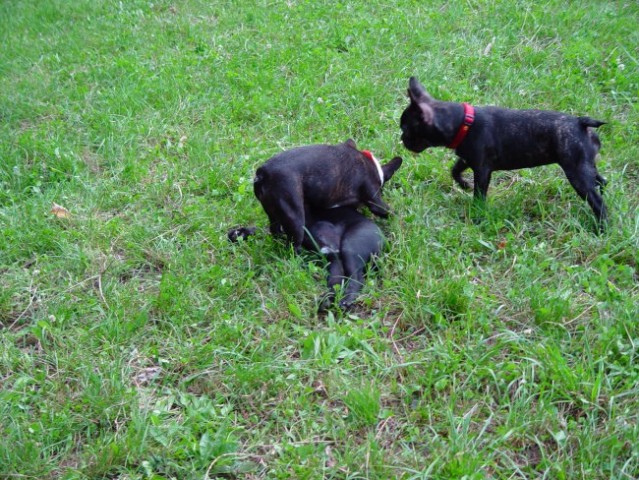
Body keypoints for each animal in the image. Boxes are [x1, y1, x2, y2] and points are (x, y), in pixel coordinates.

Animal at [254, 139, 400, 251]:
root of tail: (263, 173)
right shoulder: (375, 199)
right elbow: (391, 213)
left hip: (274, 212)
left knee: (275, 229)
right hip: (295, 217)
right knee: (293, 246)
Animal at [402, 76, 608, 225]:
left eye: (406, 129)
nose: (402, 138)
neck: (463, 123)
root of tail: (580, 122)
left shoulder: (482, 170)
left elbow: (479, 195)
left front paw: (477, 215)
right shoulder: (467, 159)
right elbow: (454, 170)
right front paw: (464, 185)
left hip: (576, 173)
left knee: (597, 202)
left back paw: (601, 228)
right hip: (585, 166)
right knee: (601, 181)